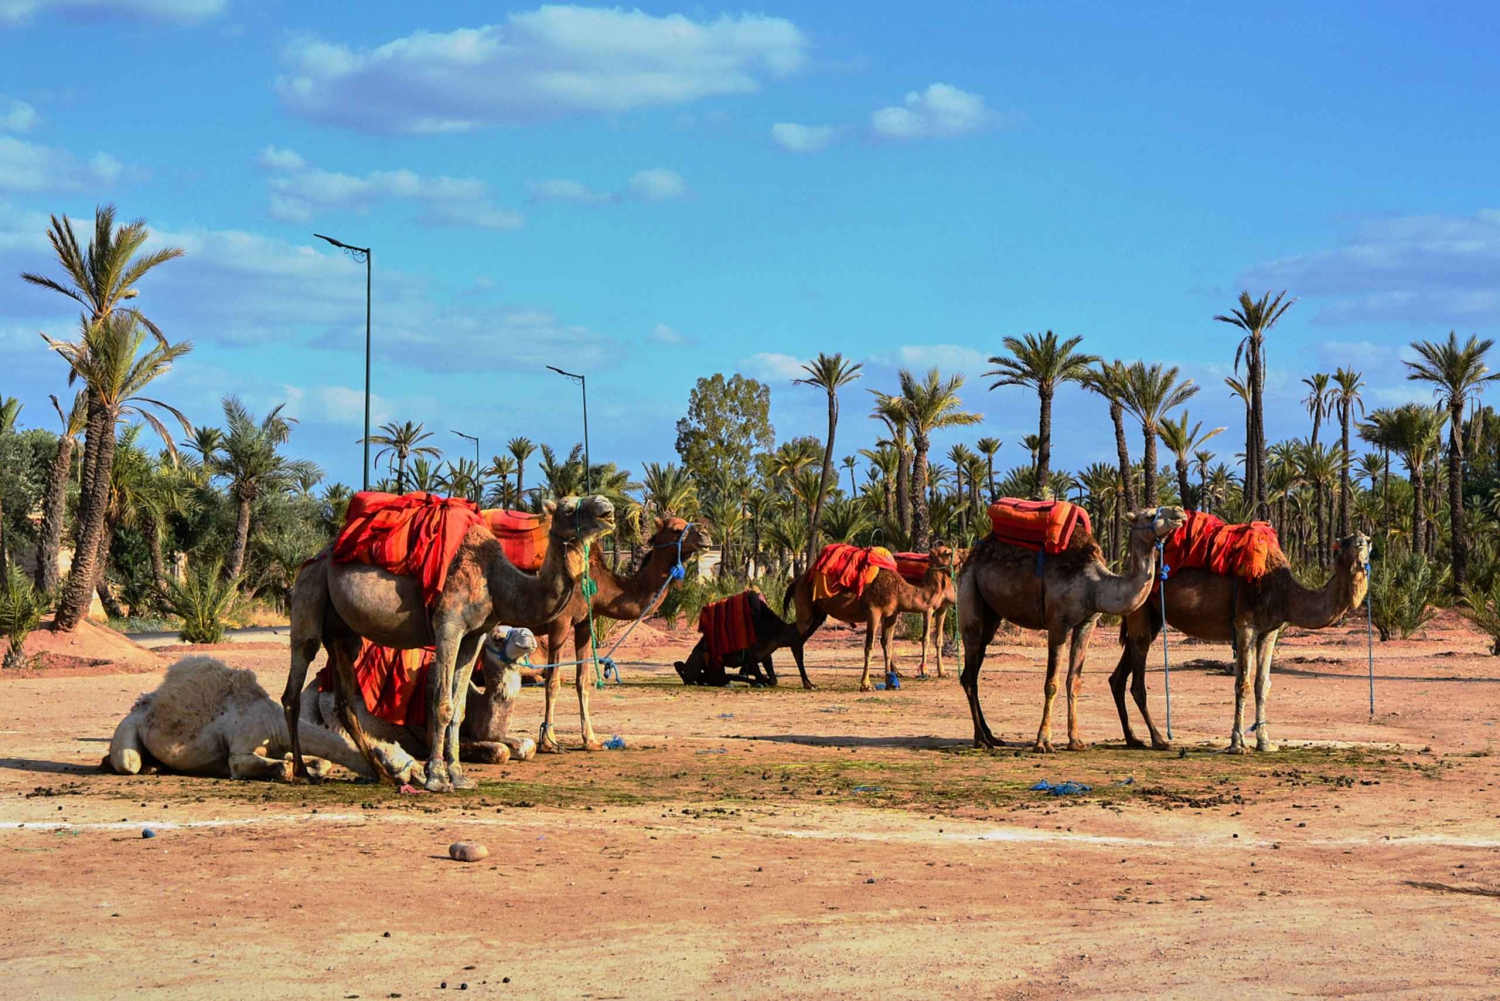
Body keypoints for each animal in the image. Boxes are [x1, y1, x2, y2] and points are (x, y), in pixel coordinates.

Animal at [105, 655, 423, 783]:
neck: (274, 725)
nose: (423, 773)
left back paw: (156, 766)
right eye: (394, 762)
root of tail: (140, 705)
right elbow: (277, 768)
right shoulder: (240, 751)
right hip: (127, 731)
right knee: (127, 762)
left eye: (407, 754)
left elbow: (310, 763)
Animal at [532, 517, 711, 752]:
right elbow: (553, 681)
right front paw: (548, 742)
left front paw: (592, 741)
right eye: (675, 529)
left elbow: (583, 682)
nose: (705, 535)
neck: (599, 581)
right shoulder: (560, 621)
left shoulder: (585, 621)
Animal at [788, 545, 958, 692]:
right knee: (797, 643)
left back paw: (808, 683)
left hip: (819, 613)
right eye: (947, 552)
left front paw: (891, 683)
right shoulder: (873, 611)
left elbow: (888, 646)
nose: (958, 558)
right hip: (805, 608)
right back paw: (807, 683)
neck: (899, 590)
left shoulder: (891, 614)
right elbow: (869, 647)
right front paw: (866, 685)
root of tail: (797, 581)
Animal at [957, 506, 1187, 752]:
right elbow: (1051, 683)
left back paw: (991, 736)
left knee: (974, 667)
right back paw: (980, 739)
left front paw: (1075, 741)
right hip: (969, 591)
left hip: (991, 615)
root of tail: (971, 555)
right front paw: (1043, 742)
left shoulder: (1087, 622)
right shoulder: (1058, 622)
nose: (1179, 512)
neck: (1094, 585)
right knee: (970, 668)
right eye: (1149, 515)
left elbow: (1074, 681)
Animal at [1109, 532, 1370, 753]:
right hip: (1142, 607)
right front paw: (1237, 744)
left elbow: (1262, 684)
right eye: (1345, 542)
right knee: (1138, 676)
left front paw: (1265, 742)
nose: (1360, 542)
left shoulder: (1269, 631)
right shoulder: (1245, 625)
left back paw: (1133, 738)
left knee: (1118, 676)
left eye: (1368, 540)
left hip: (1151, 615)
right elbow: (1242, 684)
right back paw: (1158, 739)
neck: (1283, 593)